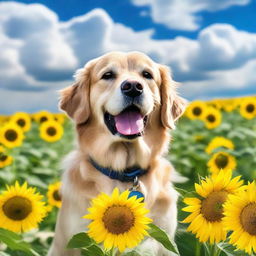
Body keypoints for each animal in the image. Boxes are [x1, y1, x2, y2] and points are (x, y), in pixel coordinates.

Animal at [47, 51, 185, 255]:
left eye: (147, 75)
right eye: (108, 75)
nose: (133, 87)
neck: (124, 172)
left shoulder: (164, 238)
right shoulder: (78, 241)